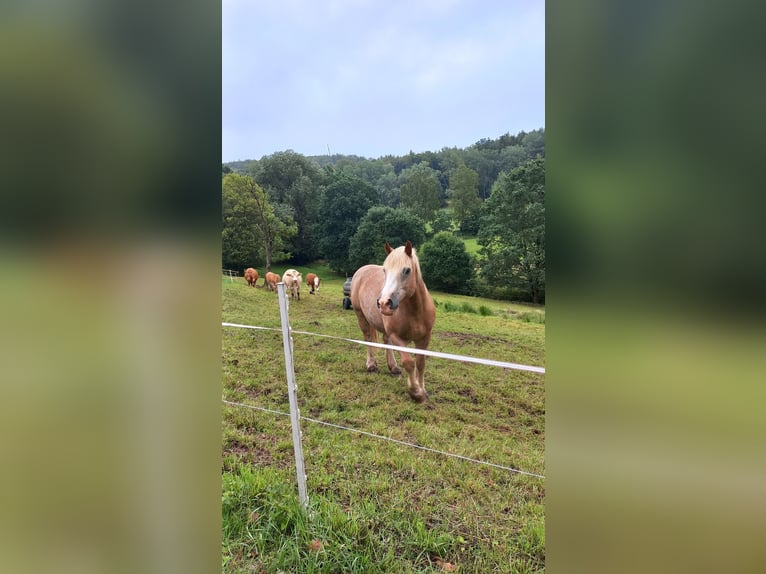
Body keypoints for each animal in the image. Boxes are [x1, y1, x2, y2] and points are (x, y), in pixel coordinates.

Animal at [352, 243, 436, 404]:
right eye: (385, 270)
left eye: (407, 270)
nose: (384, 303)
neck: (415, 311)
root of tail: (362, 269)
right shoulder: (398, 338)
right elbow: (409, 362)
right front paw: (416, 392)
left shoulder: (424, 338)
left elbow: (420, 363)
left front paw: (422, 389)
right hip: (361, 317)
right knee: (368, 339)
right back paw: (371, 365)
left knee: (386, 341)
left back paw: (393, 367)